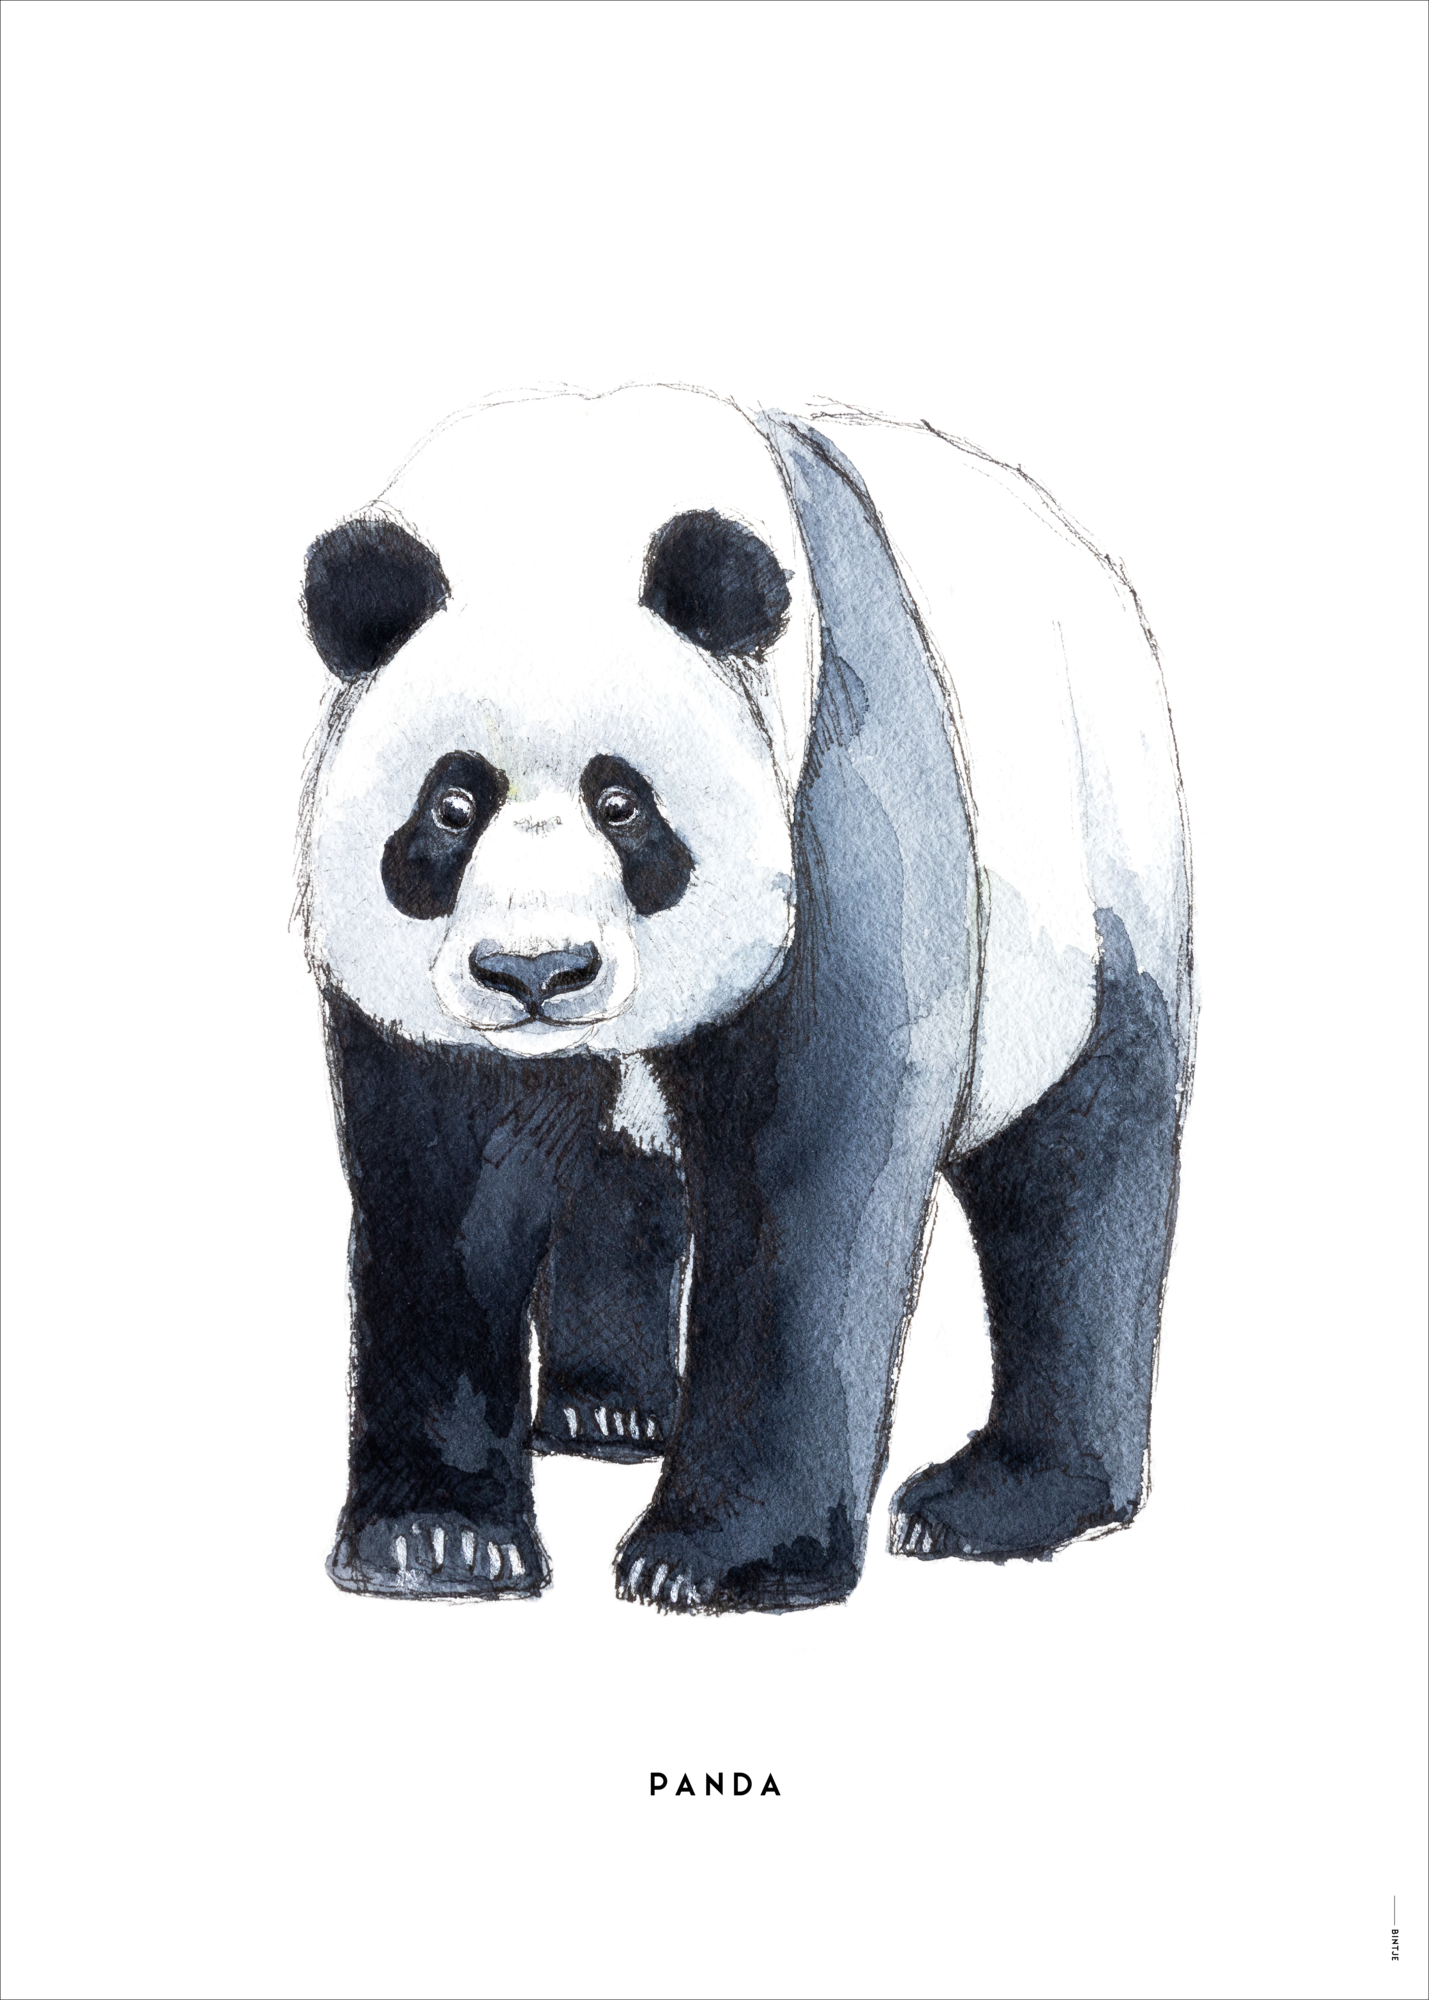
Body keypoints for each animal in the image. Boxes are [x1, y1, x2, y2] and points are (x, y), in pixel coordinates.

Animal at [298, 384, 1193, 1612]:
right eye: (451, 805)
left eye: (622, 803)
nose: (538, 974)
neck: (567, 499)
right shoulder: (429, 991)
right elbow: (451, 1182)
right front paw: (433, 1540)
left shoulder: (835, 771)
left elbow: (808, 1163)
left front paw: (714, 1561)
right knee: (620, 1172)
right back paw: (608, 1407)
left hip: (1099, 869)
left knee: (1076, 1177)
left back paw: (998, 1494)